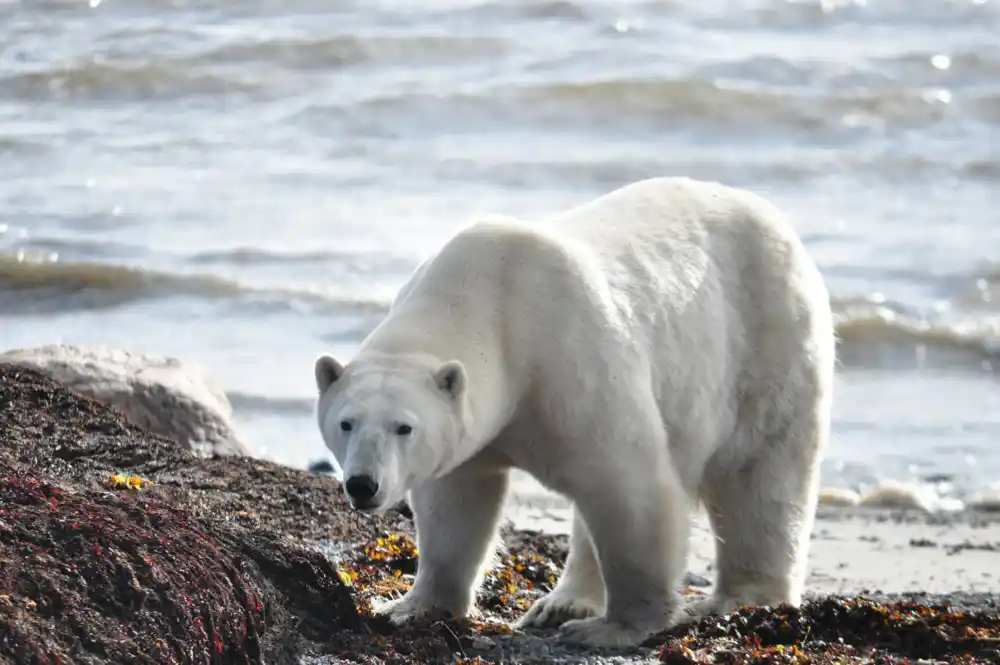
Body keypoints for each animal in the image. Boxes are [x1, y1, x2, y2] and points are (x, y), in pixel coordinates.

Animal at [312, 176, 836, 648]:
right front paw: (411, 607)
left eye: (404, 427)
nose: (363, 484)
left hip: (767, 340)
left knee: (758, 477)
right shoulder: (476, 427)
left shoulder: (569, 360)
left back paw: (745, 597)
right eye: (346, 423)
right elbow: (457, 504)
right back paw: (562, 603)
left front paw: (614, 628)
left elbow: (629, 484)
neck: (492, 301)